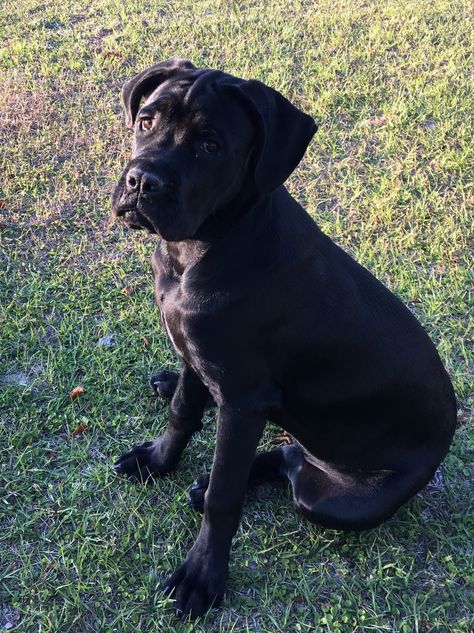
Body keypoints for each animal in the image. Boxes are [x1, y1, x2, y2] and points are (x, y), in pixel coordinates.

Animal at [110, 58, 456, 616]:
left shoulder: (243, 399)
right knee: (287, 452)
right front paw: (159, 460)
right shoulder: (196, 352)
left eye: (211, 145)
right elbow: (183, 411)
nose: (142, 181)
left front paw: (202, 575)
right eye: (145, 120)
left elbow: (224, 495)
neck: (199, 249)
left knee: (292, 467)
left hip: (338, 500)